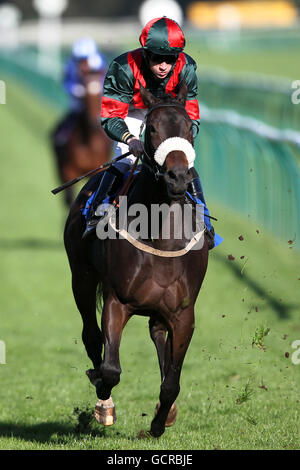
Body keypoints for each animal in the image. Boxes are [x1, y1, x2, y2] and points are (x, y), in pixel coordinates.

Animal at [52, 69, 112, 206]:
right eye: (85, 94)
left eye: (101, 92)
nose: (93, 122)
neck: (90, 143)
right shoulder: (69, 170)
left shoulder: (97, 171)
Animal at [63, 82, 209, 438]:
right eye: (153, 128)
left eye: (190, 127)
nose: (177, 178)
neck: (161, 235)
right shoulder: (117, 300)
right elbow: (110, 368)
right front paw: (103, 397)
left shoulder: (183, 314)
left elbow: (172, 382)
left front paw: (159, 422)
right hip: (81, 278)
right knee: (91, 336)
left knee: (157, 334)